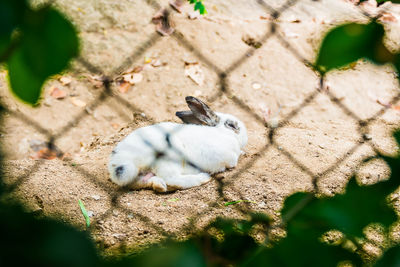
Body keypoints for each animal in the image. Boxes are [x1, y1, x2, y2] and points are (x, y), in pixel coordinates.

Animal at [108, 96, 247, 193]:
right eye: (232, 125)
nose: (246, 137)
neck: (222, 133)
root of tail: (119, 163)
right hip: (169, 157)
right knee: (172, 180)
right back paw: (203, 178)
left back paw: (159, 185)